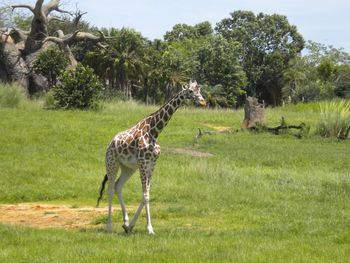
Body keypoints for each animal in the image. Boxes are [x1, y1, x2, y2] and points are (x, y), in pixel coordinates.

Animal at [96, 80, 205, 235]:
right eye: (190, 91)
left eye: (199, 90)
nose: (203, 102)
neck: (154, 132)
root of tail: (110, 143)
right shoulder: (143, 162)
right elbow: (145, 195)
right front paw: (149, 229)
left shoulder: (152, 163)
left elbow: (146, 194)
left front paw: (130, 226)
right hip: (112, 162)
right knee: (110, 189)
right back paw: (109, 226)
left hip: (128, 168)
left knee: (118, 186)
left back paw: (125, 221)